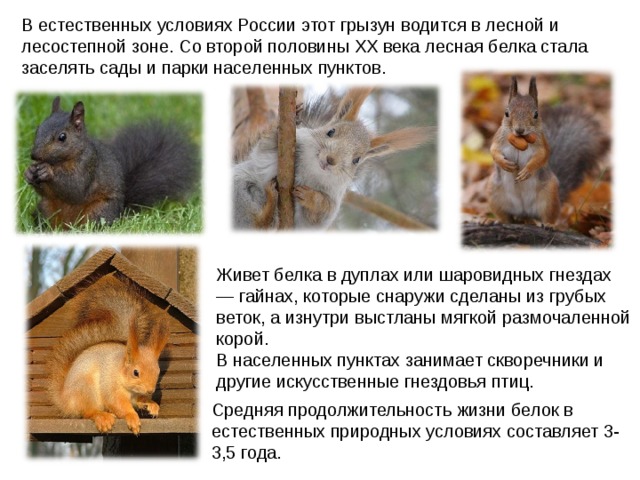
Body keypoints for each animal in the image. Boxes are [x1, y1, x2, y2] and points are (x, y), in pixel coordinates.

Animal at [25, 96, 198, 229]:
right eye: (38, 129)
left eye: (62, 137)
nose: (34, 155)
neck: (61, 162)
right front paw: (29, 172)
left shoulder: (89, 164)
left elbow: (75, 187)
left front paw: (47, 171)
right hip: (46, 208)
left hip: (98, 212)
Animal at [47, 276, 170, 435]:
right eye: (135, 372)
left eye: (158, 372)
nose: (150, 390)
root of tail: (65, 400)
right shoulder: (111, 386)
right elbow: (117, 404)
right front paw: (132, 417)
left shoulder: (135, 395)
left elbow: (138, 401)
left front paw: (151, 404)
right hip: (85, 388)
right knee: (88, 412)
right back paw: (102, 417)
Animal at [233, 87, 434, 229]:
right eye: (330, 132)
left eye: (356, 160)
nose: (330, 160)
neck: (313, 170)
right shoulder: (270, 154)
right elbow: (263, 149)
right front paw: (291, 120)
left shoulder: (334, 197)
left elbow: (321, 212)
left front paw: (312, 197)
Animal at [488, 76, 608, 225]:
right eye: (506, 113)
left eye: (536, 114)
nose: (519, 130)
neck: (521, 141)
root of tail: (524, 212)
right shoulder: (498, 139)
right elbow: (493, 151)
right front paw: (504, 164)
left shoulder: (542, 144)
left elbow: (541, 156)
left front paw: (527, 170)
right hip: (495, 193)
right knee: (505, 216)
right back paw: (496, 220)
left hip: (549, 196)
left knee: (549, 216)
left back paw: (548, 225)